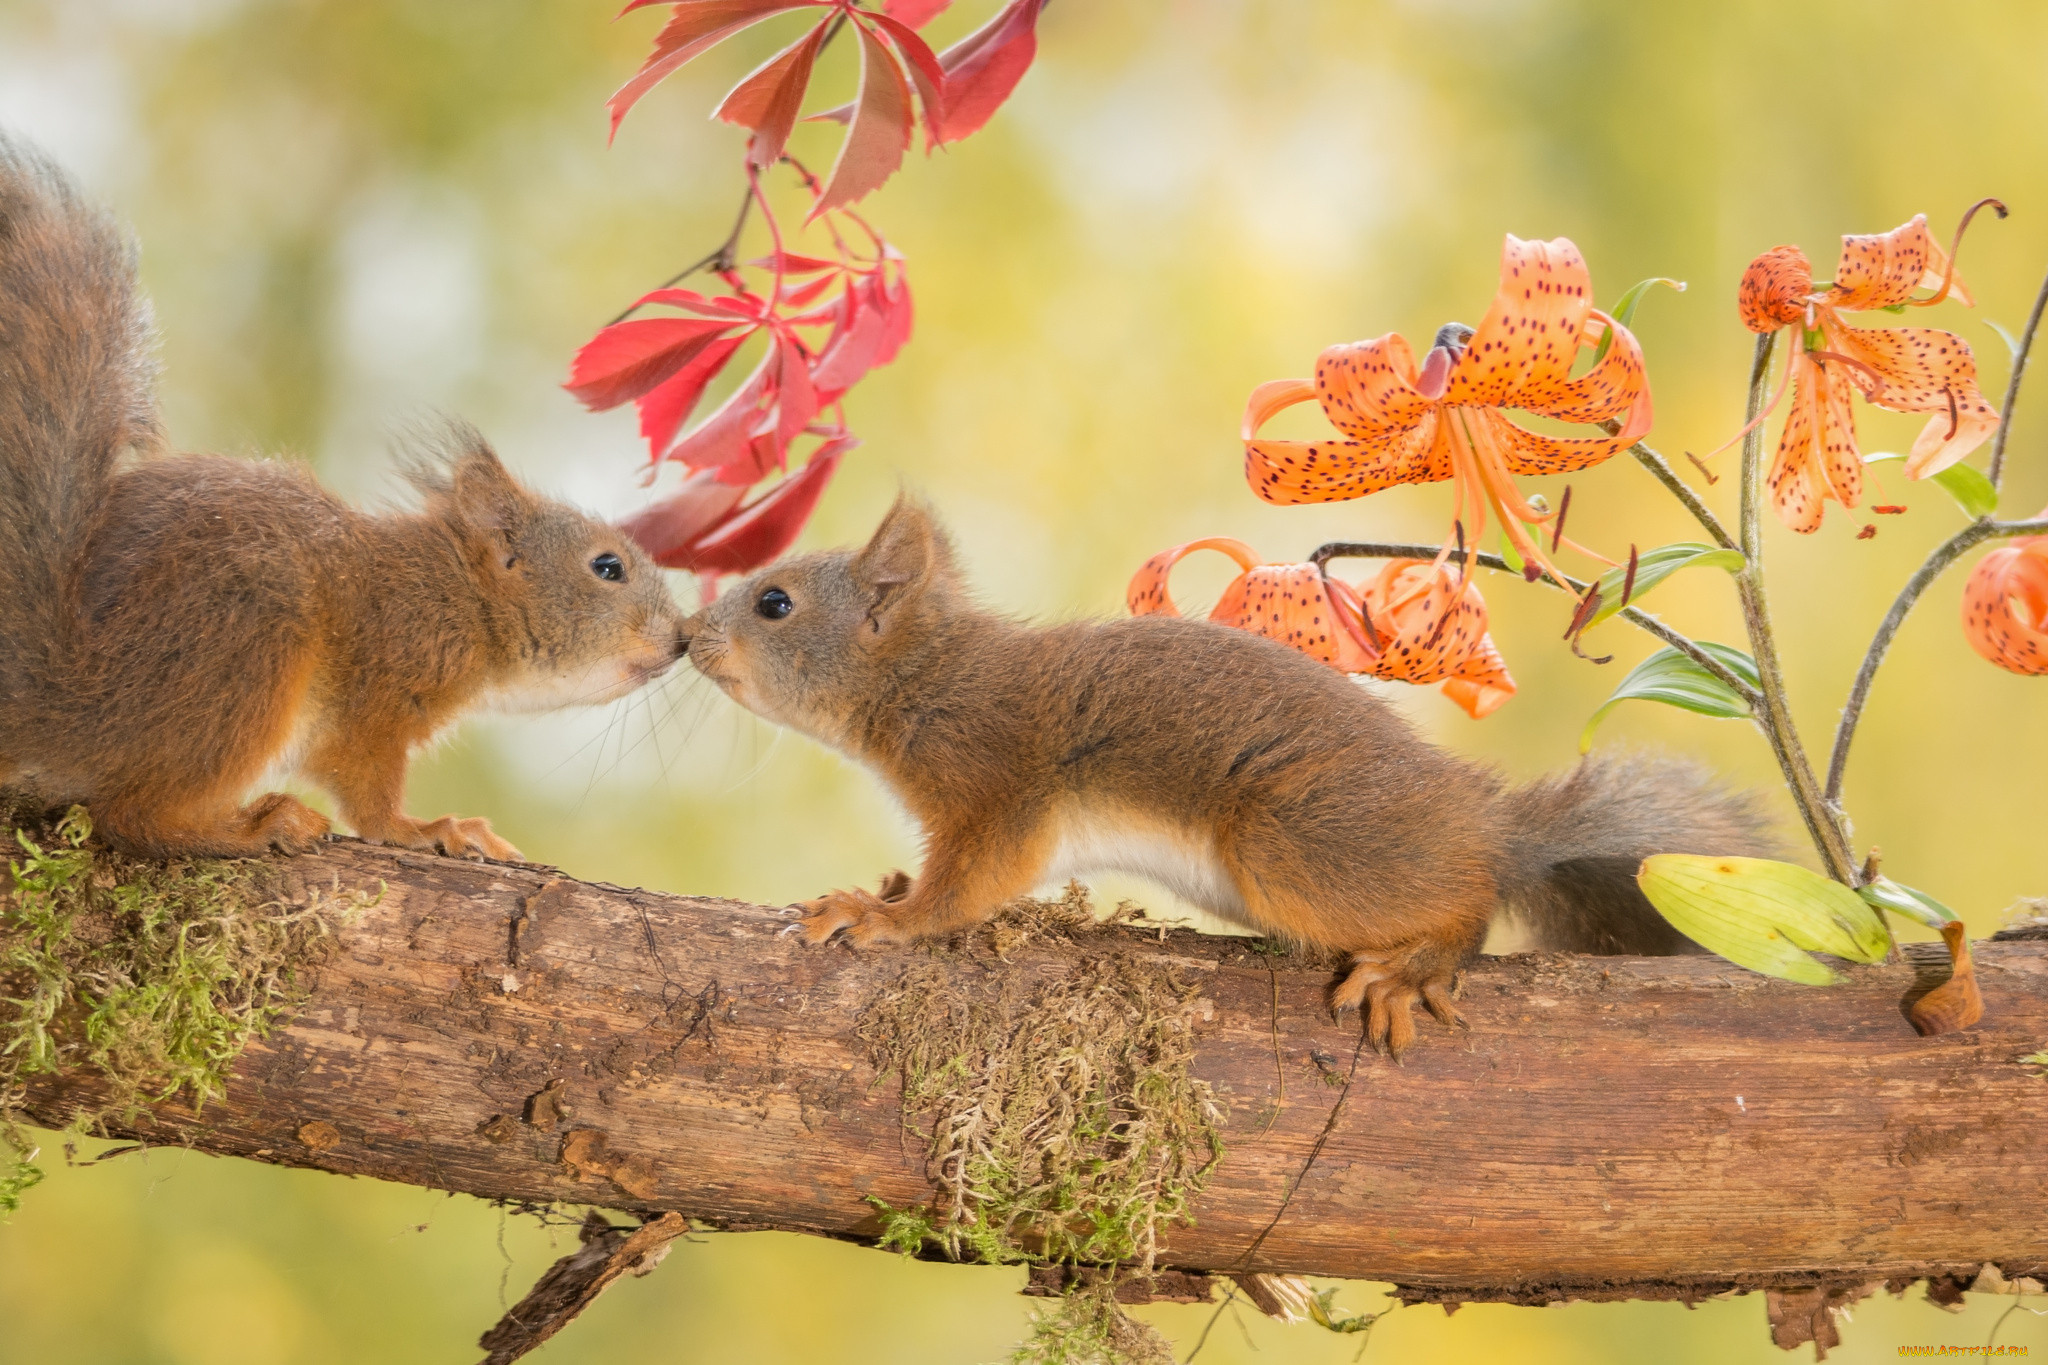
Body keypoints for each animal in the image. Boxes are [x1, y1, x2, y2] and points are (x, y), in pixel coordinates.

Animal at [0, 139, 692, 863]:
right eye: (607, 567)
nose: (681, 637)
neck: (457, 595)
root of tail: (63, 700)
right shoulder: (379, 690)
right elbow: (365, 786)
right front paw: (427, 829)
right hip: (249, 650)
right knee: (132, 814)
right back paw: (257, 825)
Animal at [688, 501, 1777, 1055]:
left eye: (774, 602)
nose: (689, 636)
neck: (926, 677)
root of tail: (1486, 825)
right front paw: (886, 885)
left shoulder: (997, 781)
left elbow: (968, 888)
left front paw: (881, 917)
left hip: (1292, 844)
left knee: (1465, 906)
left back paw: (1416, 964)